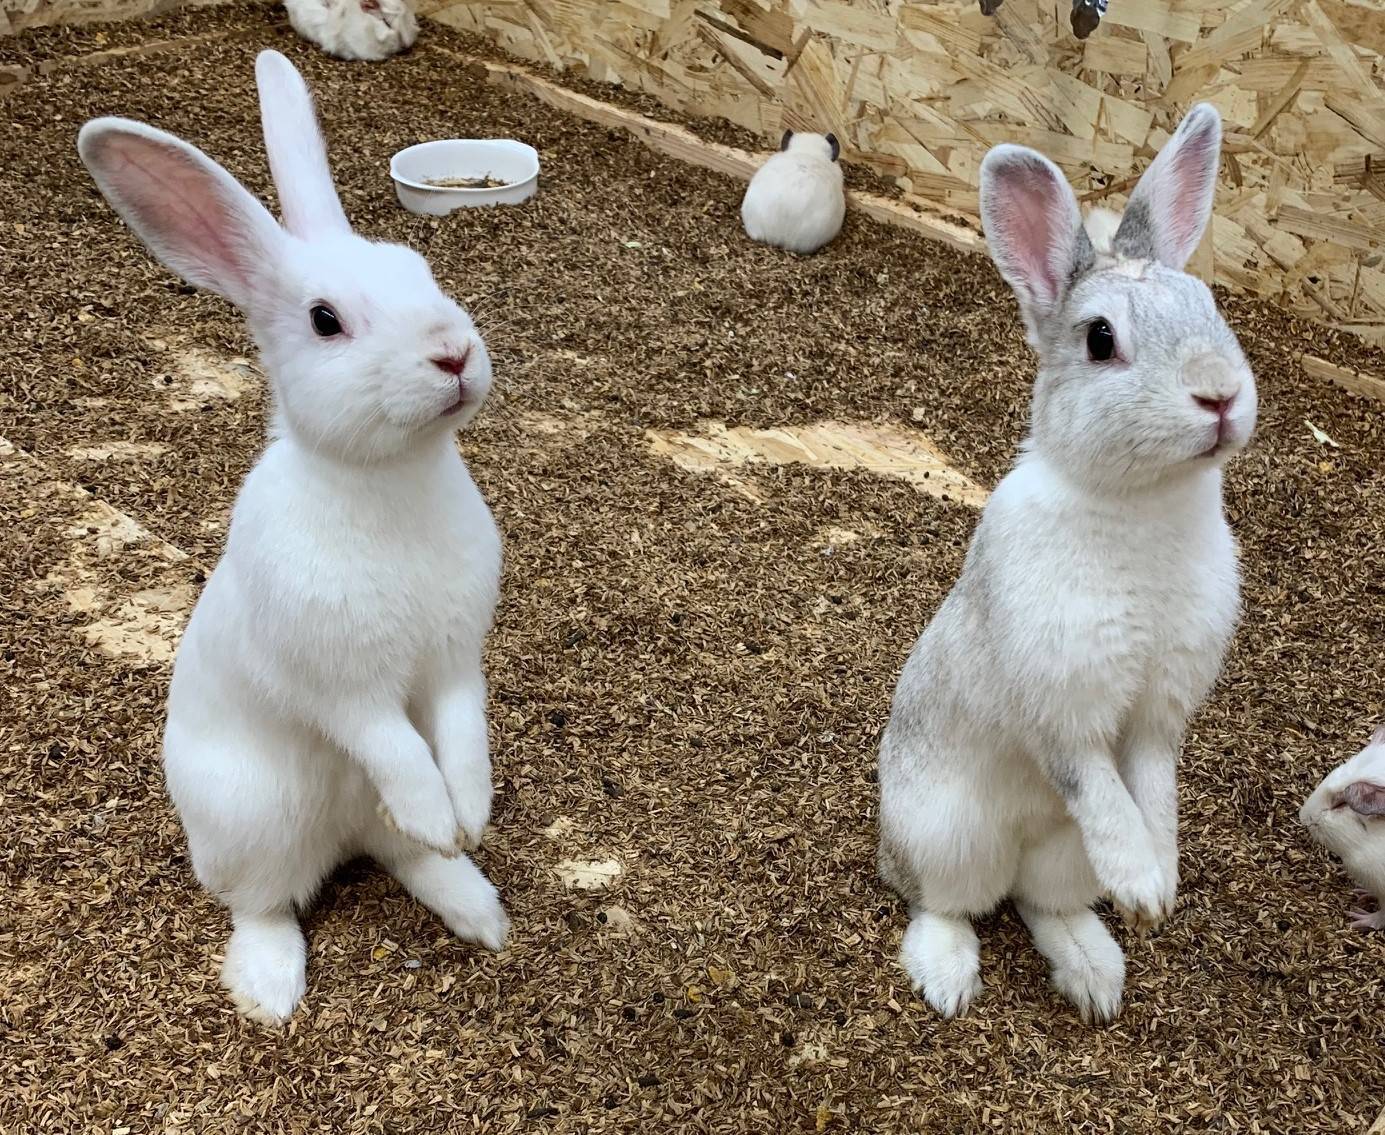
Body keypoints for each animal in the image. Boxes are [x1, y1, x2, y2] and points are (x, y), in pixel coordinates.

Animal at [78, 50, 509, 1031]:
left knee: (404, 857)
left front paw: (469, 815)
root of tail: (340, 834)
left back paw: (478, 905)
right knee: (264, 902)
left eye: (420, 268)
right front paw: (442, 813)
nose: (453, 353)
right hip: (254, 820)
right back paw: (271, 990)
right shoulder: (341, 683)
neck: (388, 482)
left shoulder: (454, 662)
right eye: (324, 320)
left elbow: (461, 734)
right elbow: (396, 746)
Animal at [880, 106, 1263, 1025]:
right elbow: (1097, 786)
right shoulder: (1065, 709)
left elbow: (1152, 793)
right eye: (1099, 340)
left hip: (1057, 857)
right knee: (947, 901)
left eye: (1210, 308)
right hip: (946, 833)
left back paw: (1095, 975)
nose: (1219, 394)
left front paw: (1158, 884)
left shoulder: (1157, 718)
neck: (1139, 505)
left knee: (1040, 902)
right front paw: (1146, 885)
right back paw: (947, 977)